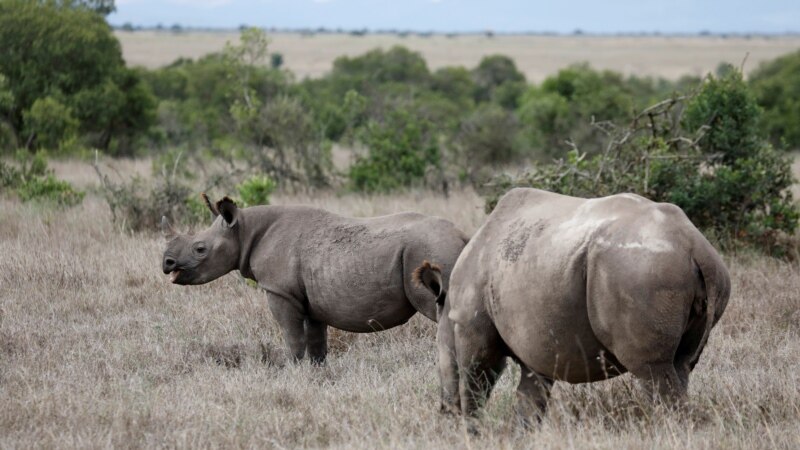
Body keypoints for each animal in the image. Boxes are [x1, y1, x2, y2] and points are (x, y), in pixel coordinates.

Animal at [161, 194, 467, 363]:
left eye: (200, 249)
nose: (166, 263)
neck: (244, 230)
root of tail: (462, 234)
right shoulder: (312, 300)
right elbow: (317, 343)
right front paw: (317, 375)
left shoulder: (280, 292)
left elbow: (293, 338)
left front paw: (293, 371)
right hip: (436, 250)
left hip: (430, 250)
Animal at [414, 188, 730, 426]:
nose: (444, 412)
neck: (449, 309)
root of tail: (694, 245)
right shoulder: (536, 343)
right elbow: (530, 398)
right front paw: (521, 435)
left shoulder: (471, 326)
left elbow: (475, 381)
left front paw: (471, 431)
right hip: (686, 271)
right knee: (682, 364)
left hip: (642, 271)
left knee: (652, 370)